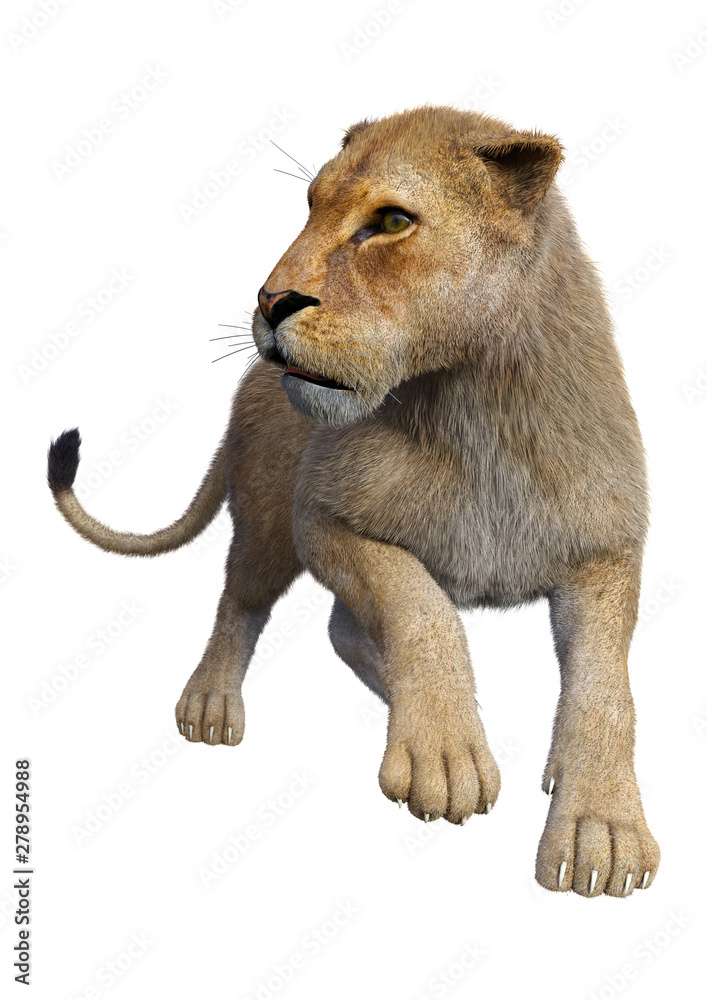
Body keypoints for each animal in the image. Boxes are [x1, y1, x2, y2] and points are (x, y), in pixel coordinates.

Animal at [47, 105, 659, 897]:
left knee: (342, 629)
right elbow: (420, 607)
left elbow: (604, 689)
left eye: (391, 221)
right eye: (310, 206)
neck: (476, 405)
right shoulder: (321, 518)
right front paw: (445, 758)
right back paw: (212, 705)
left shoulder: (606, 552)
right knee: (242, 601)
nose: (270, 302)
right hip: (265, 523)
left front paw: (602, 833)